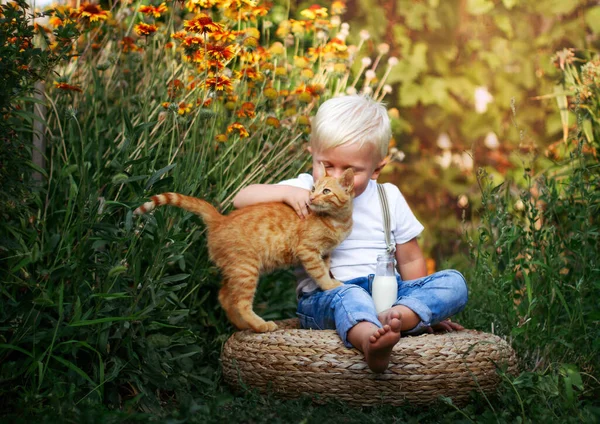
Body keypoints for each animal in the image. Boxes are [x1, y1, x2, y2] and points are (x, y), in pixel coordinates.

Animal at [134, 167, 354, 332]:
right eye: (313, 188)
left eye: (326, 191)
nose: (311, 198)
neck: (337, 220)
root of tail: (220, 219)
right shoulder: (308, 251)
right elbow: (320, 273)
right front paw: (331, 285)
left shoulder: (325, 253)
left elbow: (325, 269)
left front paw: (329, 281)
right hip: (246, 268)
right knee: (240, 302)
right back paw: (261, 325)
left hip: (235, 270)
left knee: (224, 297)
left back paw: (244, 326)